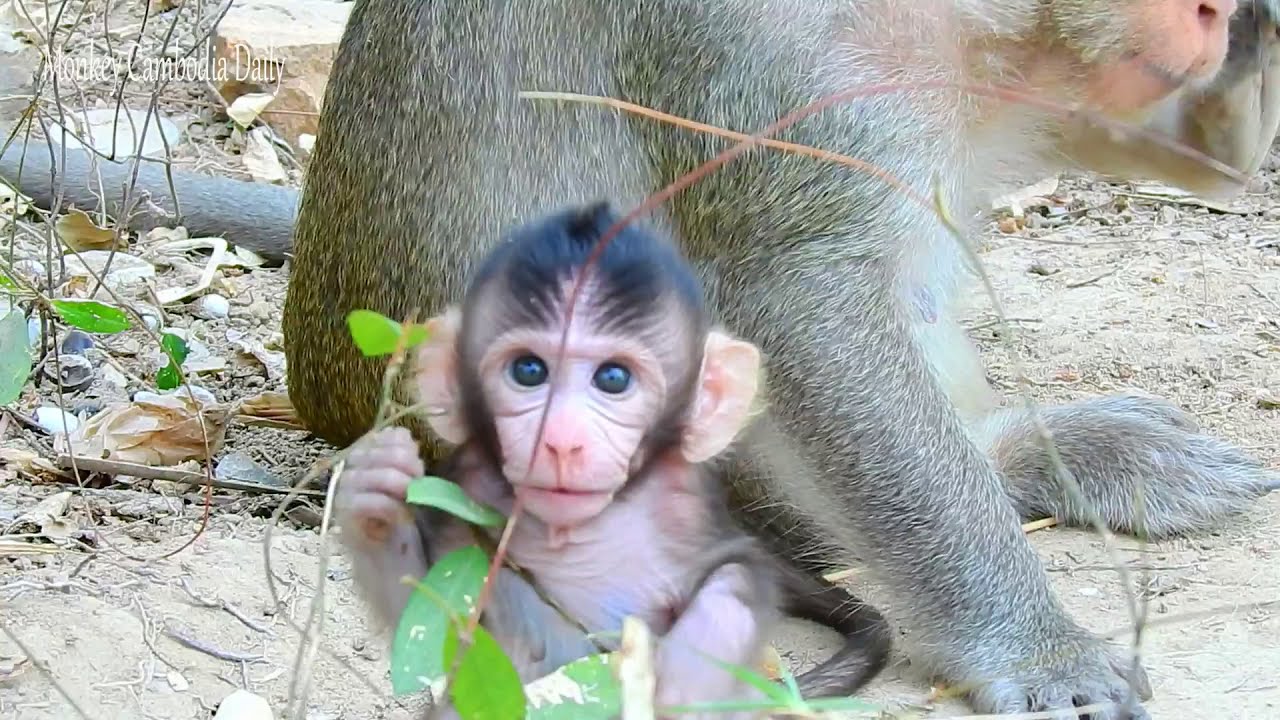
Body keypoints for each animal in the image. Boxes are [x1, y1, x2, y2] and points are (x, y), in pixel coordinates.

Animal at [335, 202, 890, 716]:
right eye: (528, 370)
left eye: (613, 379)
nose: (560, 440)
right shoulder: (462, 503)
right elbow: (428, 624)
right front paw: (374, 501)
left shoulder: (685, 508)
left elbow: (740, 569)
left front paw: (695, 660)